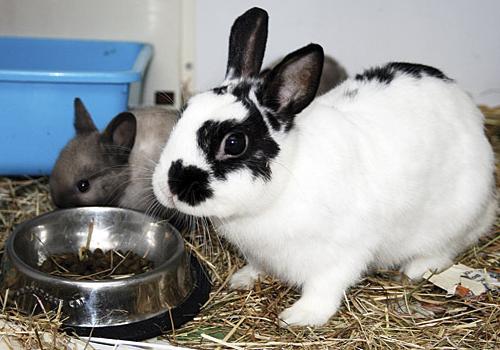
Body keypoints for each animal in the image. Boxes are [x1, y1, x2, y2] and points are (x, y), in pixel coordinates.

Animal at [151, 6, 496, 326]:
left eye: (234, 143)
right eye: (183, 113)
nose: (169, 189)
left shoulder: (342, 254)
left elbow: (324, 288)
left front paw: (299, 317)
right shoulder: (259, 254)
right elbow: (258, 267)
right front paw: (243, 279)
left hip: (455, 215)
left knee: (445, 247)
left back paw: (416, 268)